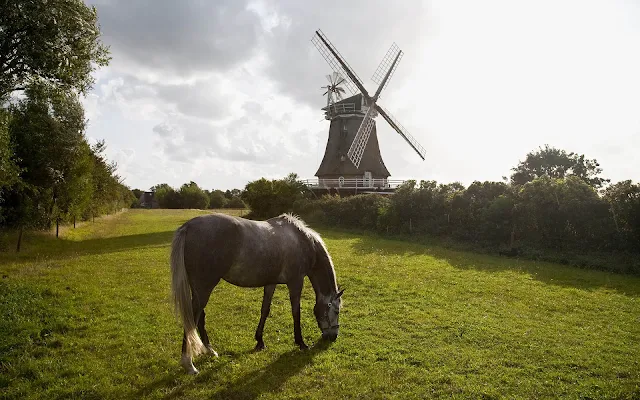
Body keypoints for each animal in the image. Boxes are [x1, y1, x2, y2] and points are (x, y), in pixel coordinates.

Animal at [168, 212, 342, 376]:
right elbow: (296, 312)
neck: (303, 242)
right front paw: (301, 343)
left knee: (200, 318)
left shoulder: (271, 283)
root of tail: (189, 226)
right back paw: (189, 364)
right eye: (337, 311)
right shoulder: (295, 282)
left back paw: (210, 351)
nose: (333, 337)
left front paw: (259, 341)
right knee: (192, 319)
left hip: (200, 290)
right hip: (204, 288)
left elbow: (265, 310)